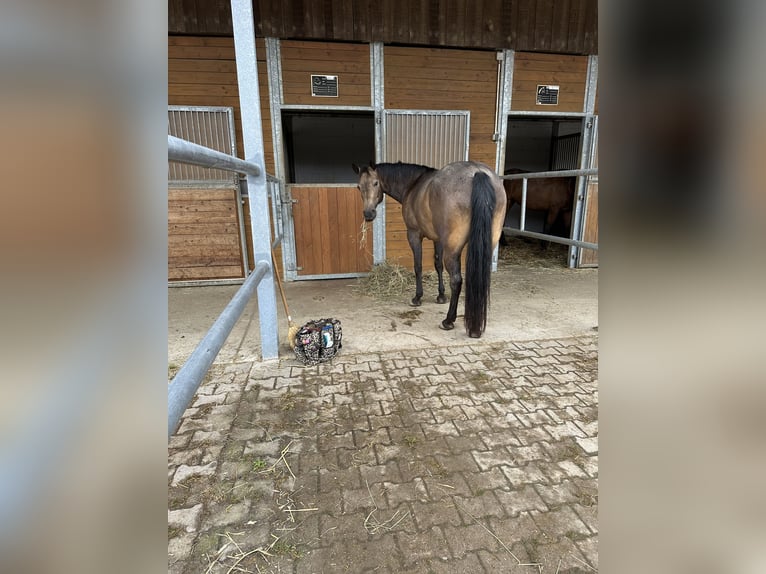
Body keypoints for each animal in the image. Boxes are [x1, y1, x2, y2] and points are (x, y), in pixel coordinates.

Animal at [352, 161, 507, 338]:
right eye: (358, 186)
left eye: (375, 183)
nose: (368, 214)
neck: (413, 184)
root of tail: (478, 172)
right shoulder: (438, 240)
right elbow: (437, 265)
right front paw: (441, 296)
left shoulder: (414, 234)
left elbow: (418, 266)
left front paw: (417, 297)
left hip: (452, 248)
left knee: (456, 280)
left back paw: (449, 321)